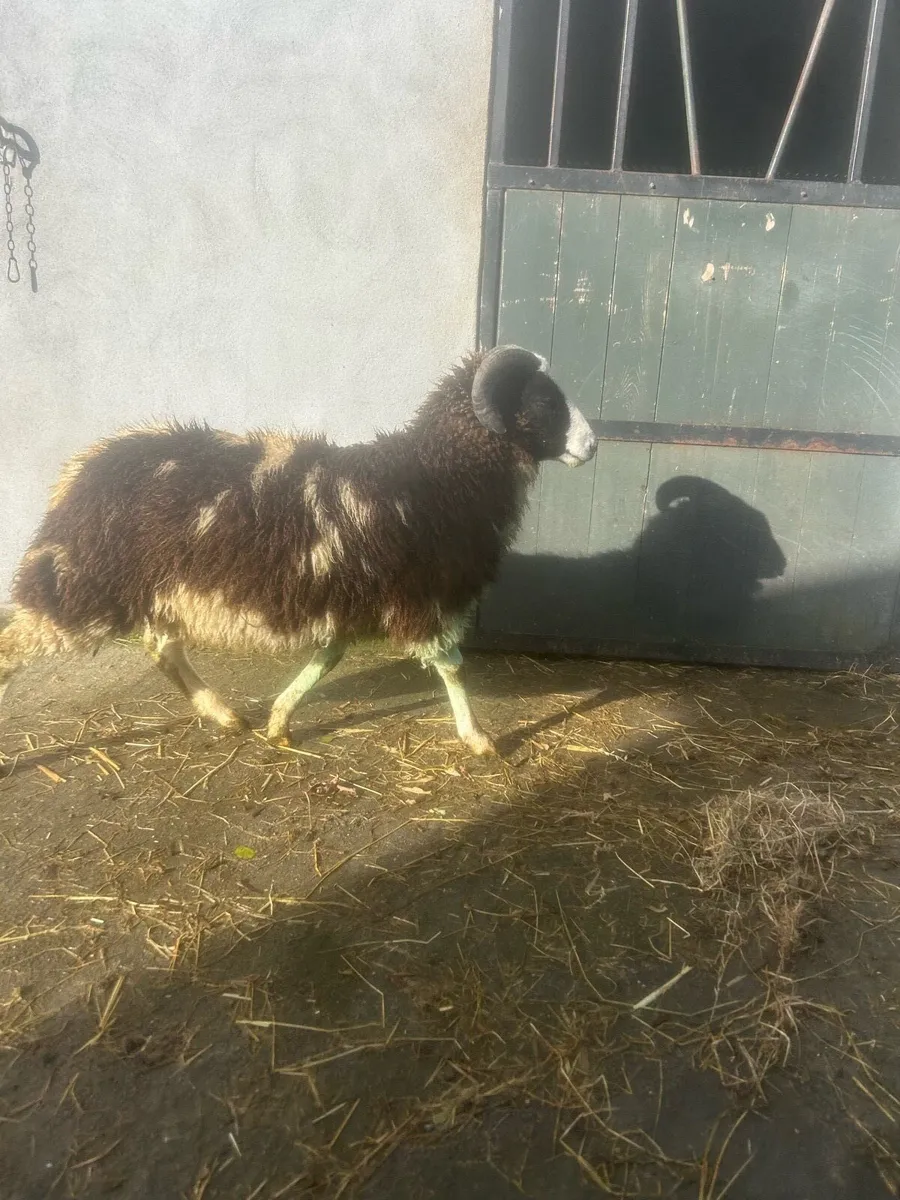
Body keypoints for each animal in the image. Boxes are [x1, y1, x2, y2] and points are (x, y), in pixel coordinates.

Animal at [0, 346, 598, 755]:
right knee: (13, 647)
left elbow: (326, 657)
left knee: (162, 648)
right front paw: (477, 739)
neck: (432, 478)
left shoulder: (346, 595)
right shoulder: (418, 599)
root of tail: (77, 470)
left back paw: (224, 715)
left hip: (157, 588)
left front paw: (279, 722)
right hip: (79, 584)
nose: (593, 445)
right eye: (543, 403)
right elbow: (451, 667)